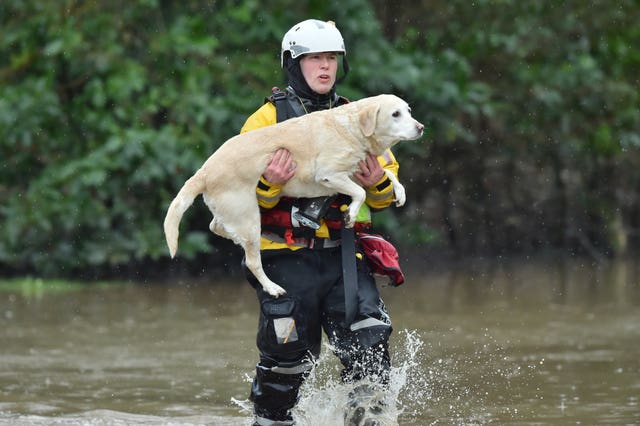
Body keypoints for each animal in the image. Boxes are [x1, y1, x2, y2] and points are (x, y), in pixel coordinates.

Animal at [164, 95, 424, 298]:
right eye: (395, 114)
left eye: (409, 111)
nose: (421, 127)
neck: (352, 129)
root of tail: (204, 171)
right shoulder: (328, 174)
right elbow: (359, 192)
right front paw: (350, 214)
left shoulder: (357, 171)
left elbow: (386, 175)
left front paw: (399, 193)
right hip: (248, 215)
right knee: (252, 260)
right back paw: (272, 288)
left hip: (237, 211)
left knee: (215, 226)